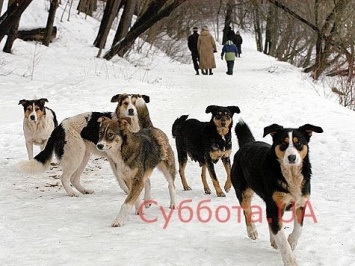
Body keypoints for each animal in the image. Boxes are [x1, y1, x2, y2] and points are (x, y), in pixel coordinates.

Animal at [18, 94, 153, 197]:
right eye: (126, 103)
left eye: (135, 103)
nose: (131, 110)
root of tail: (59, 127)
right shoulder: (113, 159)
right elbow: (121, 178)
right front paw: (128, 190)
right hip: (76, 155)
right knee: (65, 178)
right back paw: (72, 193)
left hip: (83, 156)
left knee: (74, 178)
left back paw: (84, 190)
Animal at [232, 119, 324, 264]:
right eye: (283, 143)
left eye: (298, 143)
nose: (292, 157)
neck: (290, 176)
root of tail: (248, 143)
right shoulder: (275, 206)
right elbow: (282, 239)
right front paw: (290, 260)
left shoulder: (301, 203)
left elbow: (298, 229)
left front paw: (292, 241)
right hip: (243, 191)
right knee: (247, 210)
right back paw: (252, 231)